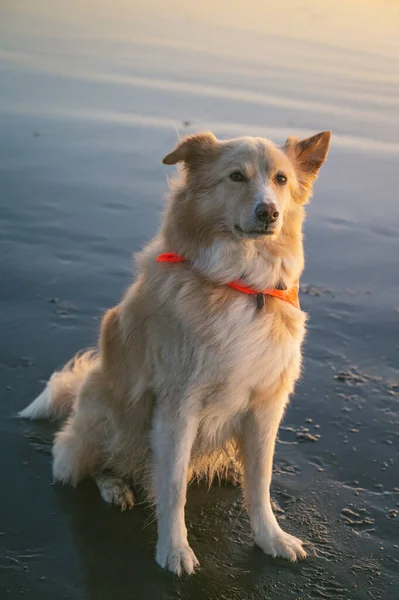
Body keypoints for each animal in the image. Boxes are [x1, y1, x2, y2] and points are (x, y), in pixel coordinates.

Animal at [21, 130, 332, 576]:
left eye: (281, 180)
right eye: (236, 176)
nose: (269, 213)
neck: (240, 284)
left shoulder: (266, 407)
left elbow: (261, 482)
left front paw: (270, 537)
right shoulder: (177, 406)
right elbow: (171, 485)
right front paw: (174, 550)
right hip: (113, 415)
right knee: (87, 460)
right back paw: (114, 486)